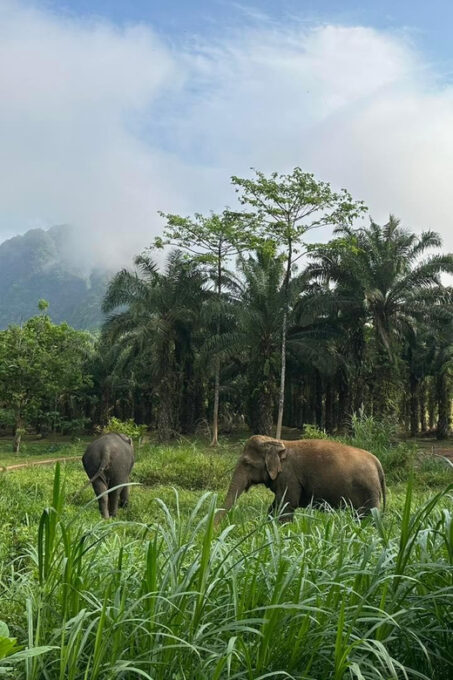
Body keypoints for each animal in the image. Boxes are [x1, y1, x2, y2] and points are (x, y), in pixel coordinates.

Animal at [217, 435, 386, 523]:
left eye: (247, 463)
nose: (216, 529)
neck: (277, 442)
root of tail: (377, 462)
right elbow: (275, 506)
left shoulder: (289, 476)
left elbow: (287, 504)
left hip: (368, 490)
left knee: (367, 515)